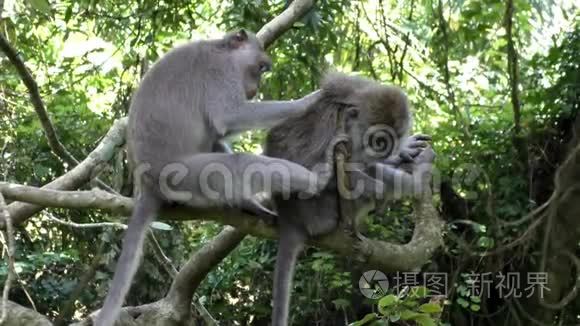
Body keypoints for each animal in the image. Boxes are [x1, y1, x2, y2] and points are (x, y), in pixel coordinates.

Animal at [93, 29, 324, 324]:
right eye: (260, 68)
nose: (254, 89)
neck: (221, 50)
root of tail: (147, 184)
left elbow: (221, 131)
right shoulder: (220, 74)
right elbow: (230, 116)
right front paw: (311, 100)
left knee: (216, 144)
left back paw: (248, 203)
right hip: (186, 176)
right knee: (238, 163)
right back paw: (315, 180)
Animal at [264, 72, 436, 326]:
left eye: (392, 140)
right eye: (379, 141)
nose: (387, 152)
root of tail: (289, 218)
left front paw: (402, 153)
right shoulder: (335, 135)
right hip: (321, 213)